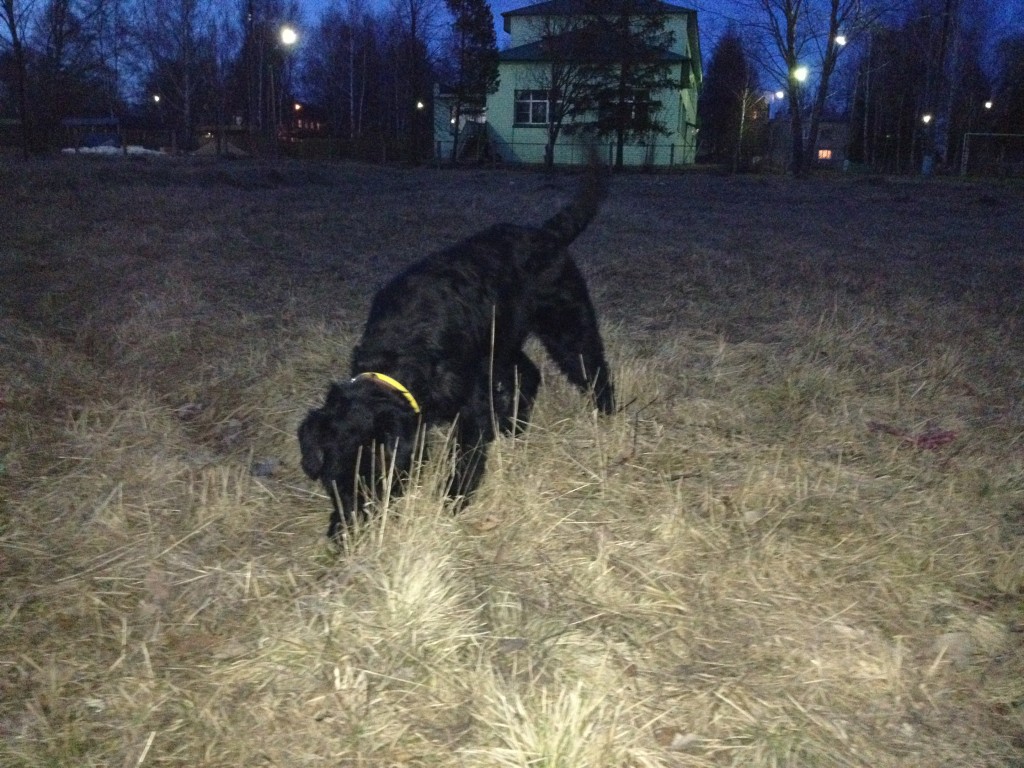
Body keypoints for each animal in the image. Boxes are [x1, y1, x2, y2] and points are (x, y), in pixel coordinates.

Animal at [299, 165, 615, 539]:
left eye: (374, 480)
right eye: (333, 481)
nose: (346, 533)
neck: (401, 353)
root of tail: (545, 234)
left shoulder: (471, 404)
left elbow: (466, 456)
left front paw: (452, 500)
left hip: (566, 326)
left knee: (592, 367)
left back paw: (606, 417)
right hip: (503, 343)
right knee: (529, 372)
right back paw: (513, 427)